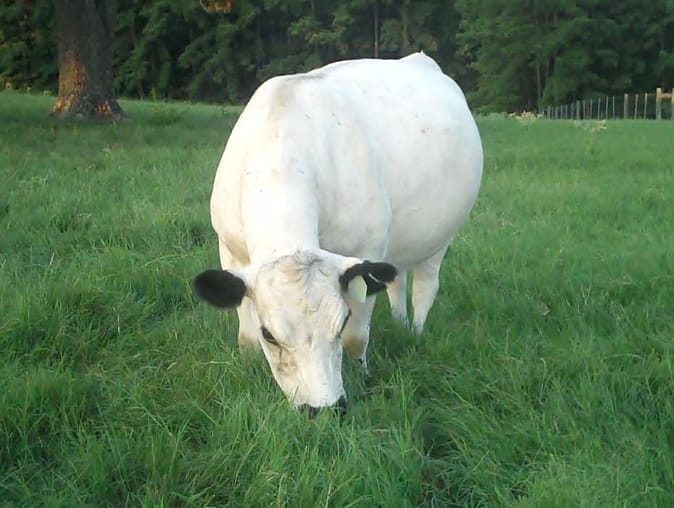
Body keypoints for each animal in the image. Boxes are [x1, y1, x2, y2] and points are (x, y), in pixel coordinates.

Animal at [193, 52, 483, 415]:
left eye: (341, 321)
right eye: (269, 334)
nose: (322, 409)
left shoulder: (366, 252)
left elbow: (357, 338)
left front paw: (363, 375)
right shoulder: (230, 250)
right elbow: (245, 338)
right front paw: (247, 370)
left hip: (439, 238)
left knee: (425, 289)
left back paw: (415, 333)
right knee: (398, 281)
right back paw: (400, 324)